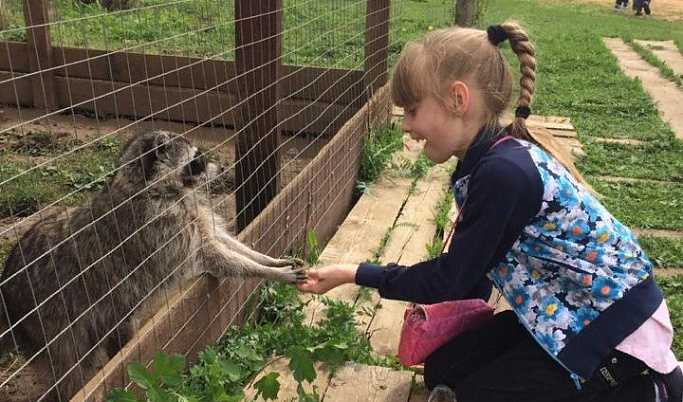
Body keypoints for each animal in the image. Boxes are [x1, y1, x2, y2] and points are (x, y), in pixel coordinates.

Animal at [0, 131, 304, 398]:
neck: (150, 186)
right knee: (71, 366)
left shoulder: (190, 215)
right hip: (52, 320)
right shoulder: (164, 228)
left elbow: (225, 241)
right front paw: (269, 271)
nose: (220, 167)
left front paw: (268, 260)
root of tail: (6, 287)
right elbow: (218, 258)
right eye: (197, 159)